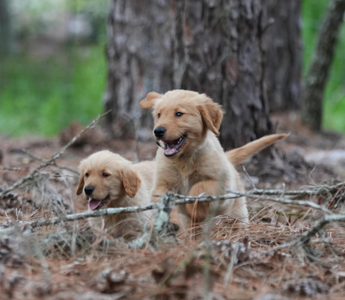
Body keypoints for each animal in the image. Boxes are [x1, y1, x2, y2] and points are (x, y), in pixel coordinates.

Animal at [140, 89, 288, 230]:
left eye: (179, 114)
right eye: (159, 115)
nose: (158, 131)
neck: (185, 159)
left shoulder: (222, 183)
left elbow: (199, 188)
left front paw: (193, 210)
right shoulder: (162, 184)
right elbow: (163, 203)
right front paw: (171, 221)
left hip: (236, 210)